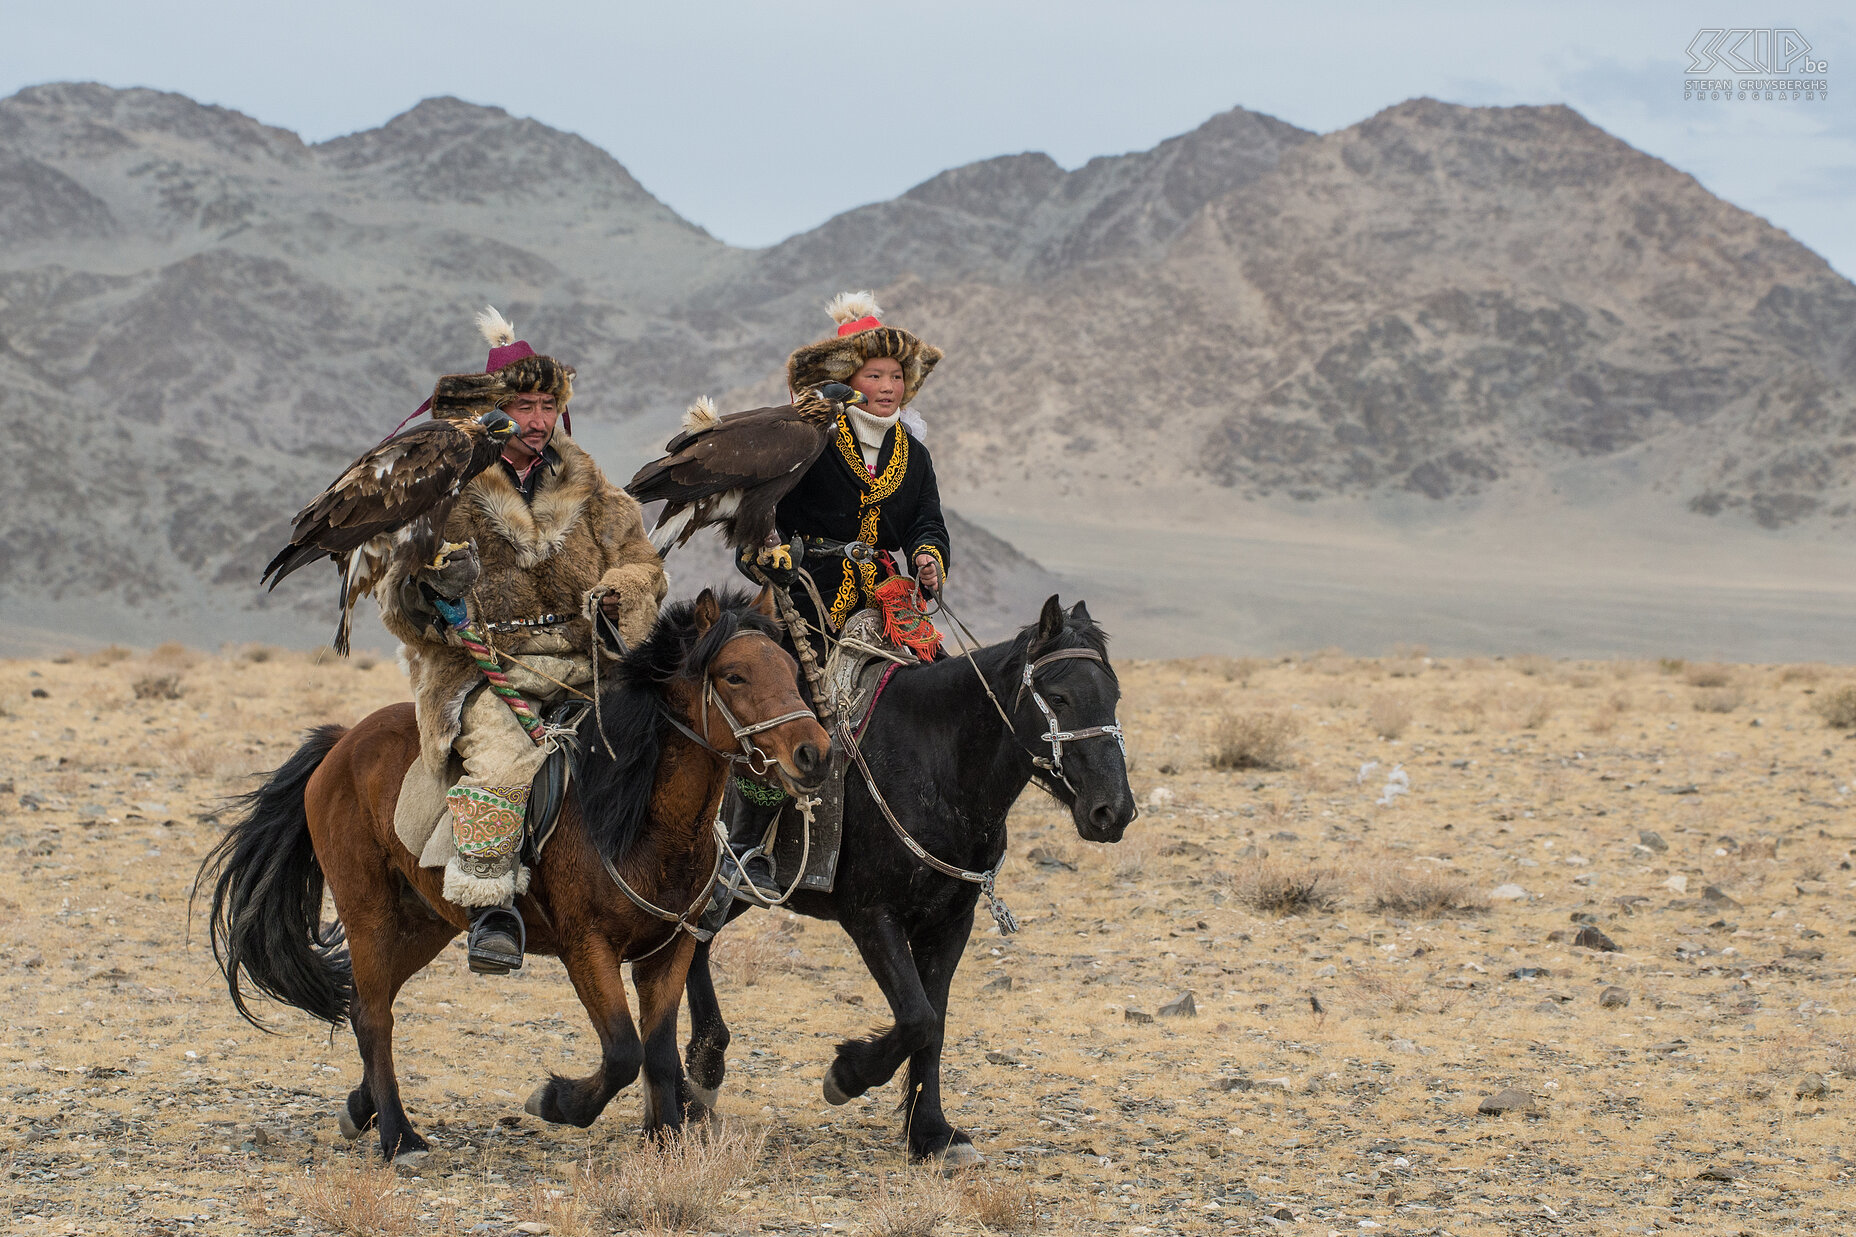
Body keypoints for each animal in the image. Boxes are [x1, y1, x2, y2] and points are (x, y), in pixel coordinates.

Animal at [197, 586, 827, 1158]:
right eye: (734, 676)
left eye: (791, 670)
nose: (815, 754)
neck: (634, 816)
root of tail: (341, 742)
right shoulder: (586, 947)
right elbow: (625, 1051)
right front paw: (557, 1102)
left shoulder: (668, 951)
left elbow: (661, 1053)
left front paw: (665, 1140)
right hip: (366, 911)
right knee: (374, 1015)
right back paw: (400, 1138)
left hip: (425, 921)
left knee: (362, 1005)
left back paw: (362, 1109)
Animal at [690, 594, 1135, 1158]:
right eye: (1058, 696)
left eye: (1113, 695)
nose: (1112, 811)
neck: (936, 765)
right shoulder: (871, 917)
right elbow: (917, 1017)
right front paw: (845, 1076)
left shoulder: (950, 924)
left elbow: (934, 1024)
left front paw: (932, 1133)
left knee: (695, 944)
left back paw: (703, 1066)